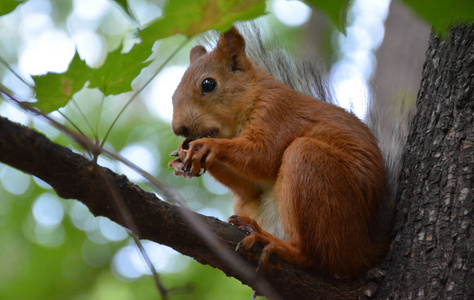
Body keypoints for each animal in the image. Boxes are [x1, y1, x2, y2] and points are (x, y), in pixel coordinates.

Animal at [168, 24, 408, 278]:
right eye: (173, 95)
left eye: (208, 84)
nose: (179, 129)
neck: (252, 94)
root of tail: (363, 251)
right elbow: (250, 185)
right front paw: (183, 155)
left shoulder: (276, 112)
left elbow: (263, 155)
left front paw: (207, 146)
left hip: (312, 166)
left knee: (315, 256)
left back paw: (272, 243)